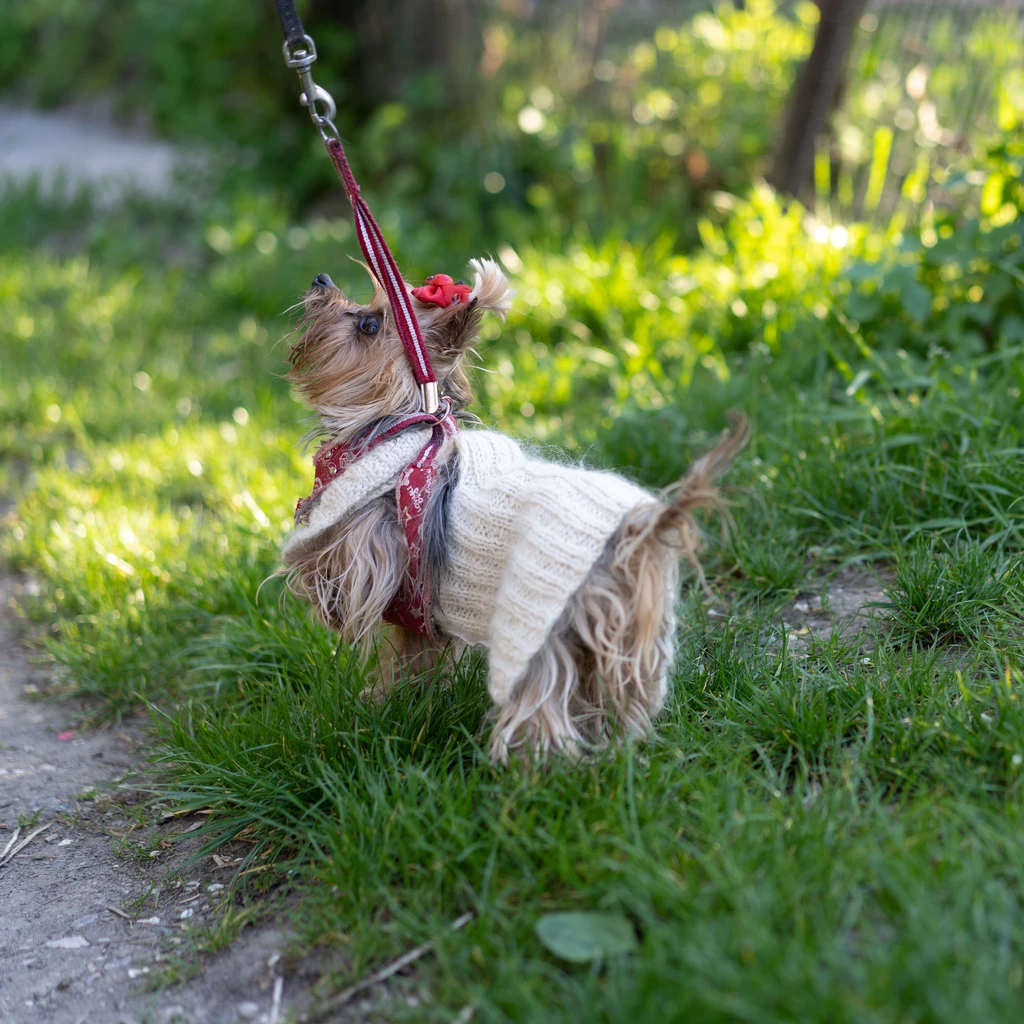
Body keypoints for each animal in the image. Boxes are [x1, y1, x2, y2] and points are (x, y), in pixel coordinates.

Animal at [284, 260, 749, 761]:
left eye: (369, 324)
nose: (321, 280)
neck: (400, 426)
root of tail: (640, 529)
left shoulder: (375, 544)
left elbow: (336, 570)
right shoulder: (420, 614)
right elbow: (411, 661)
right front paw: (392, 704)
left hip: (538, 622)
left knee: (542, 702)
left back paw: (529, 767)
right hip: (624, 629)